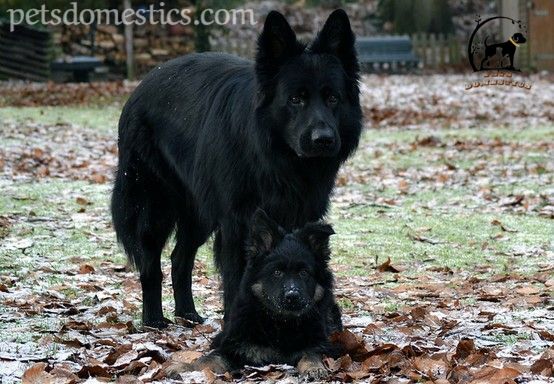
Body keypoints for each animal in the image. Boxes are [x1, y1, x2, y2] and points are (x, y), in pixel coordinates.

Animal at [112, 8, 362, 328]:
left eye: (333, 98)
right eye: (296, 99)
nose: (324, 140)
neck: (277, 162)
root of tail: (142, 85)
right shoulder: (237, 224)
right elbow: (237, 279)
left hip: (199, 213)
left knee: (180, 258)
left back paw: (188, 314)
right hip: (156, 206)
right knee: (150, 262)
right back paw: (154, 319)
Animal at [167, 212, 340, 380]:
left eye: (304, 273)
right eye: (277, 272)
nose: (292, 295)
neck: (282, 324)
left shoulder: (317, 345)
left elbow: (310, 355)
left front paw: (314, 368)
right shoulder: (234, 348)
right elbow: (208, 359)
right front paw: (186, 368)